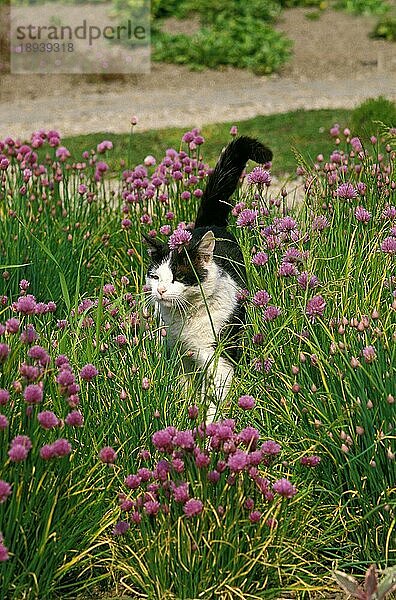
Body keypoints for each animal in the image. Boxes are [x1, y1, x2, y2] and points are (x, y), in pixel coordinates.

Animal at [145, 136, 272, 420]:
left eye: (179, 276)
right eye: (155, 277)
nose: (160, 291)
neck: (186, 321)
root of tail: (207, 225)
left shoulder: (219, 360)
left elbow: (213, 401)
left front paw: (209, 425)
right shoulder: (178, 355)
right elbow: (183, 391)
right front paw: (183, 414)